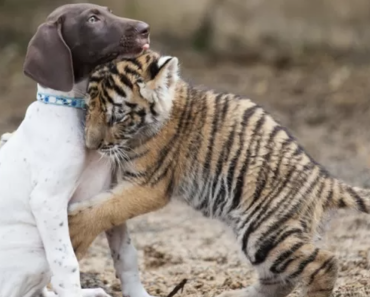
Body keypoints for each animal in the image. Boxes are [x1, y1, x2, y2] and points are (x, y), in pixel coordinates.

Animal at [0, 4, 153, 296]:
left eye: (109, 11)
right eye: (92, 20)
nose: (145, 28)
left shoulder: (109, 195)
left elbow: (126, 255)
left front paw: (138, 292)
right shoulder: (48, 202)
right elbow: (66, 262)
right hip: (34, 252)